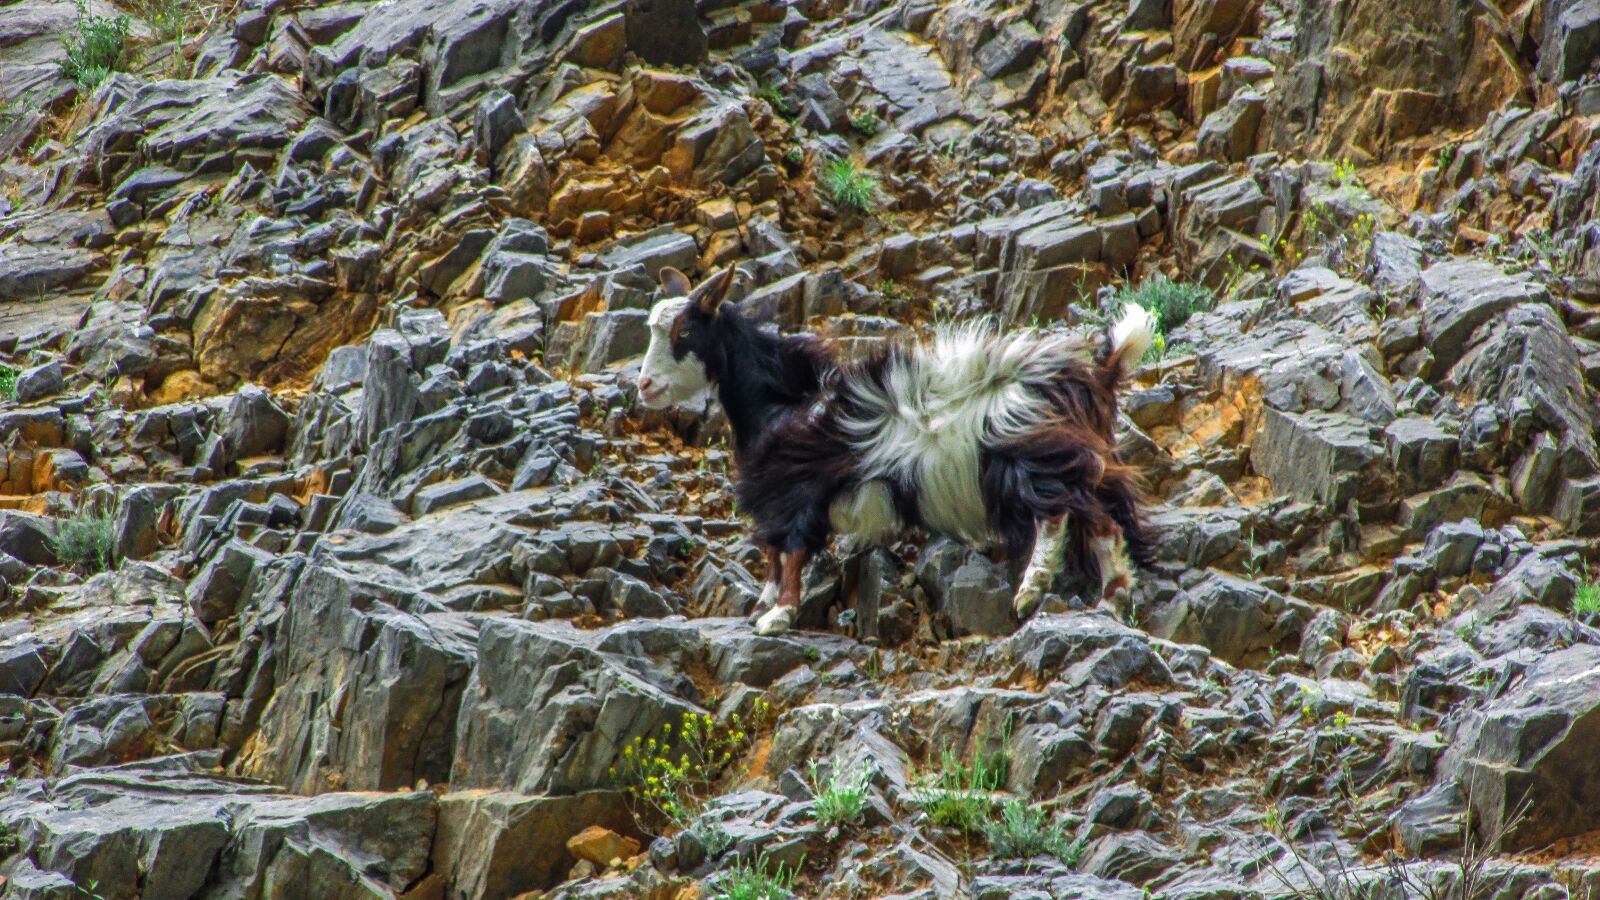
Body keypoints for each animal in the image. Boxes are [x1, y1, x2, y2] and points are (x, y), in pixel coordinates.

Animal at [636, 265, 1156, 636]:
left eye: (685, 331)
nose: (644, 385)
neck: (782, 403)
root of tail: (1093, 373)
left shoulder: (797, 493)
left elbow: (792, 551)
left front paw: (777, 616)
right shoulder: (780, 496)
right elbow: (773, 552)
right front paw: (764, 603)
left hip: (1027, 457)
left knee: (1056, 514)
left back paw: (1033, 590)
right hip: (1078, 458)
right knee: (1102, 520)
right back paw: (1112, 596)